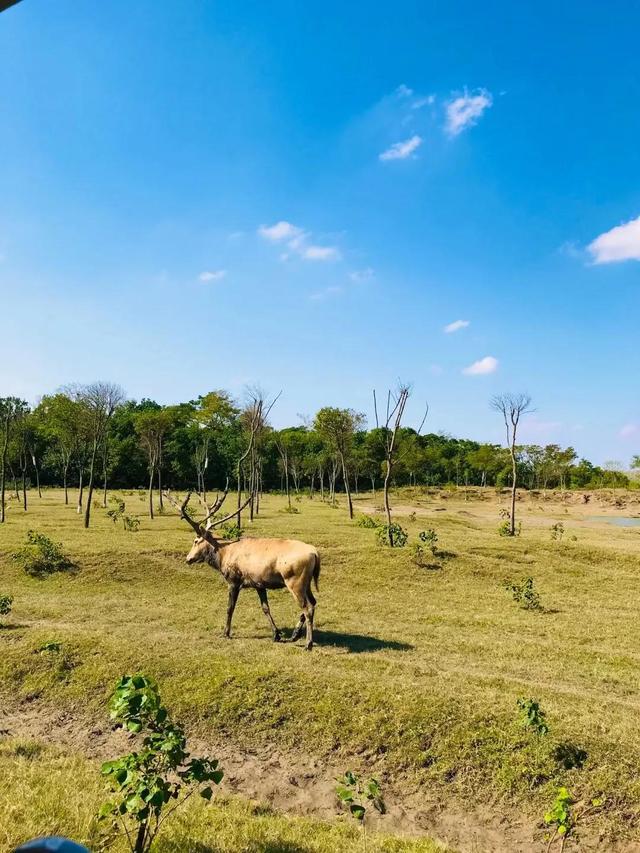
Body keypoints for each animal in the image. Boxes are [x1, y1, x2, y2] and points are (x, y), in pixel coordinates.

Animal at [163, 488, 320, 650]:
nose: (188, 558)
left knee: (307, 607)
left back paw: (308, 643)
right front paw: (276, 634)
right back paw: (295, 634)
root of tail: (315, 553)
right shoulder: (259, 583)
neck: (223, 555)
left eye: (195, 541)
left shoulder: (234, 581)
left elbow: (230, 607)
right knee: (314, 602)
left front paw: (225, 633)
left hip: (295, 581)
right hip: (307, 583)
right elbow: (265, 608)